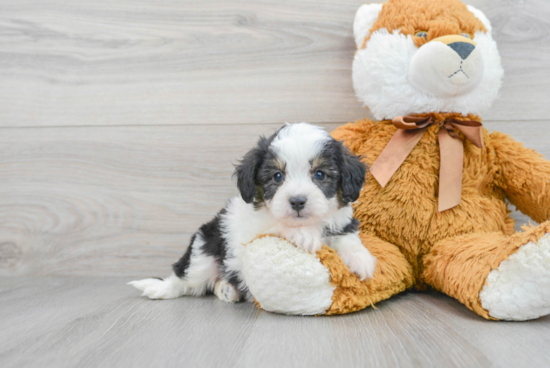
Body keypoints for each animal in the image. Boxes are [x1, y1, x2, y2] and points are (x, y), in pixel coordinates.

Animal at [132, 123, 378, 302]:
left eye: (319, 174)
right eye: (277, 176)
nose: (297, 201)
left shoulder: (341, 220)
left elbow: (347, 238)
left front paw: (362, 260)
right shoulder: (249, 234)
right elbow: (277, 225)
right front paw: (303, 235)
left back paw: (227, 290)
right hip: (204, 251)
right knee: (186, 280)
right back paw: (160, 288)